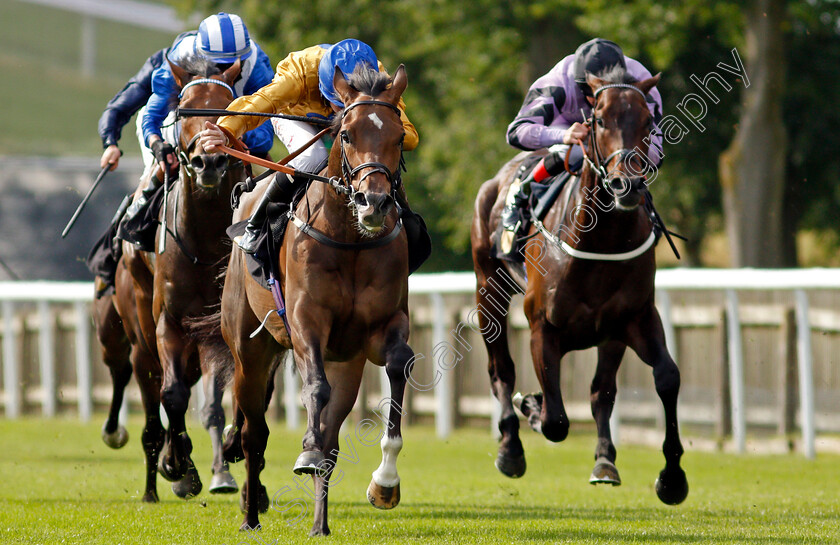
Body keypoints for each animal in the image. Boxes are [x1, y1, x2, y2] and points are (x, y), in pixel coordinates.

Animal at [104, 57, 243, 500]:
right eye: (183, 108)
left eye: (228, 106)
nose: (209, 161)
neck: (208, 239)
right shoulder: (170, 320)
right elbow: (174, 394)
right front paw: (177, 464)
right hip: (140, 329)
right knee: (151, 395)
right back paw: (157, 474)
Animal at [217, 65, 414, 536]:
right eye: (346, 133)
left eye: (399, 135)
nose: (374, 202)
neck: (350, 240)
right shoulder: (306, 320)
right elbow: (314, 389)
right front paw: (304, 450)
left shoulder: (382, 327)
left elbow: (399, 363)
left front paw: (385, 483)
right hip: (250, 352)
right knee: (254, 434)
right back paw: (250, 516)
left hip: (349, 364)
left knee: (332, 440)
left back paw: (319, 525)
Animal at [472, 72, 688, 506]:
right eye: (599, 120)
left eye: (648, 122)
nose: (627, 185)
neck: (600, 241)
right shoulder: (543, 328)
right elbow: (555, 420)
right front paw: (532, 405)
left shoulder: (635, 319)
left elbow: (666, 378)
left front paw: (672, 478)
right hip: (488, 291)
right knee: (501, 370)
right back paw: (510, 447)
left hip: (610, 336)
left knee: (601, 391)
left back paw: (604, 461)